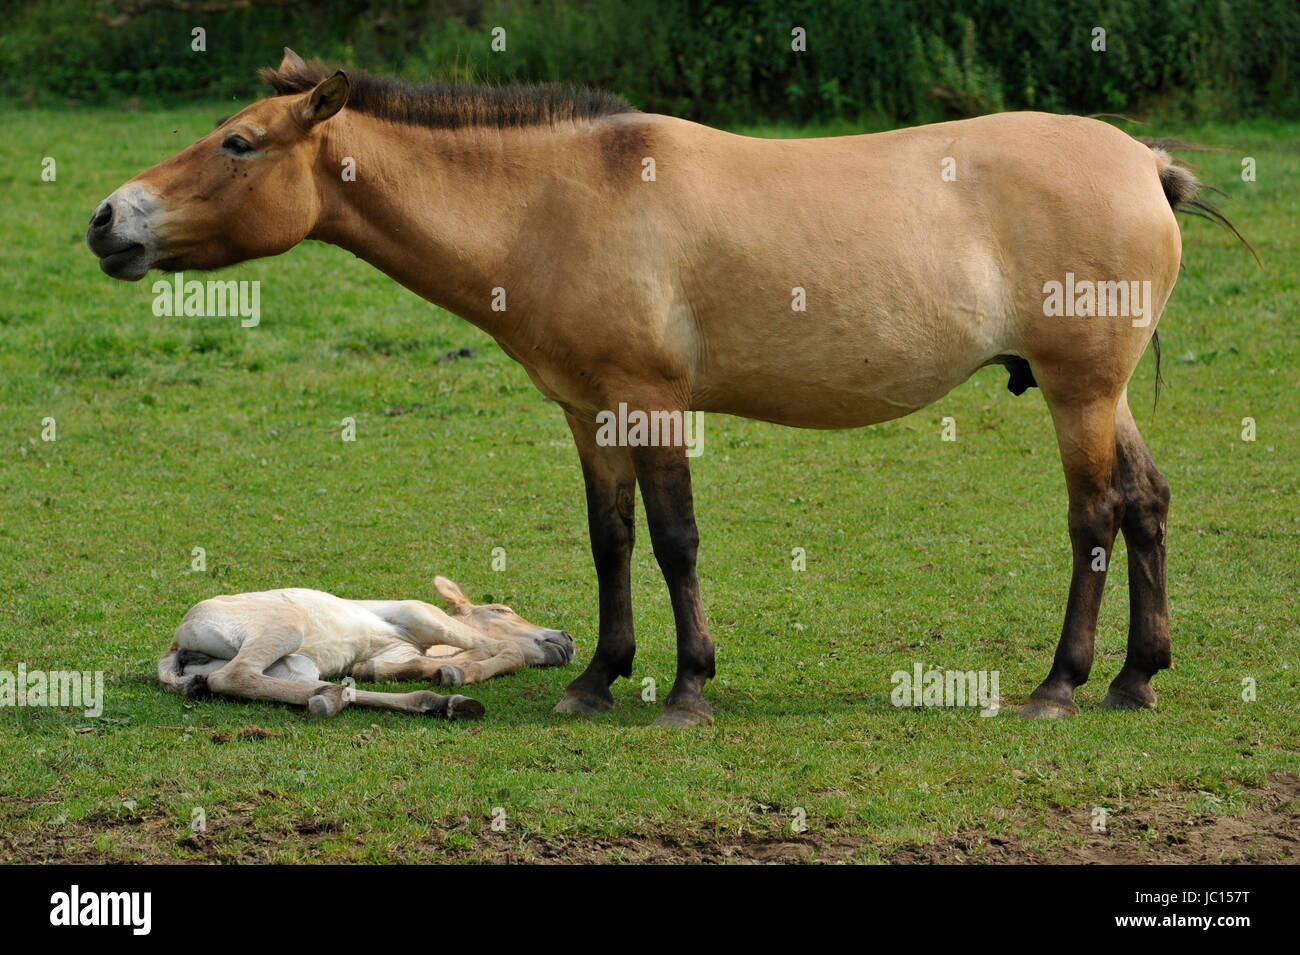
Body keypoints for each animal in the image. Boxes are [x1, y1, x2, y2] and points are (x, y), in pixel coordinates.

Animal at [89, 48, 1248, 726]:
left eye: (239, 141)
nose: (108, 218)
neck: (558, 199)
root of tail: (1142, 163)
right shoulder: (590, 410)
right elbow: (612, 541)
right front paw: (596, 677)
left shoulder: (652, 401)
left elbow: (677, 539)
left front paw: (688, 686)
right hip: (1100, 391)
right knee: (1145, 504)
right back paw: (1136, 677)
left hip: (1076, 391)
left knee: (1095, 517)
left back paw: (1062, 683)